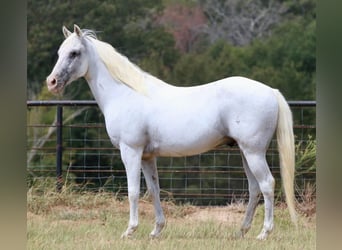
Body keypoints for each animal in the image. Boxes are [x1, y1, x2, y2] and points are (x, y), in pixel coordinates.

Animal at [46, 24, 296, 239]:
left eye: (74, 53)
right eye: (59, 52)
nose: (52, 82)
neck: (125, 93)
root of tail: (271, 91)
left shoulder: (131, 151)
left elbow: (133, 191)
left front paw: (130, 230)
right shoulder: (147, 156)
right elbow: (153, 190)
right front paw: (156, 230)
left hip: (254, 152)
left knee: (267, 184)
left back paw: (264, 233)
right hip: (245, 152)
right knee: (254, 188)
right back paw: (242, 231)